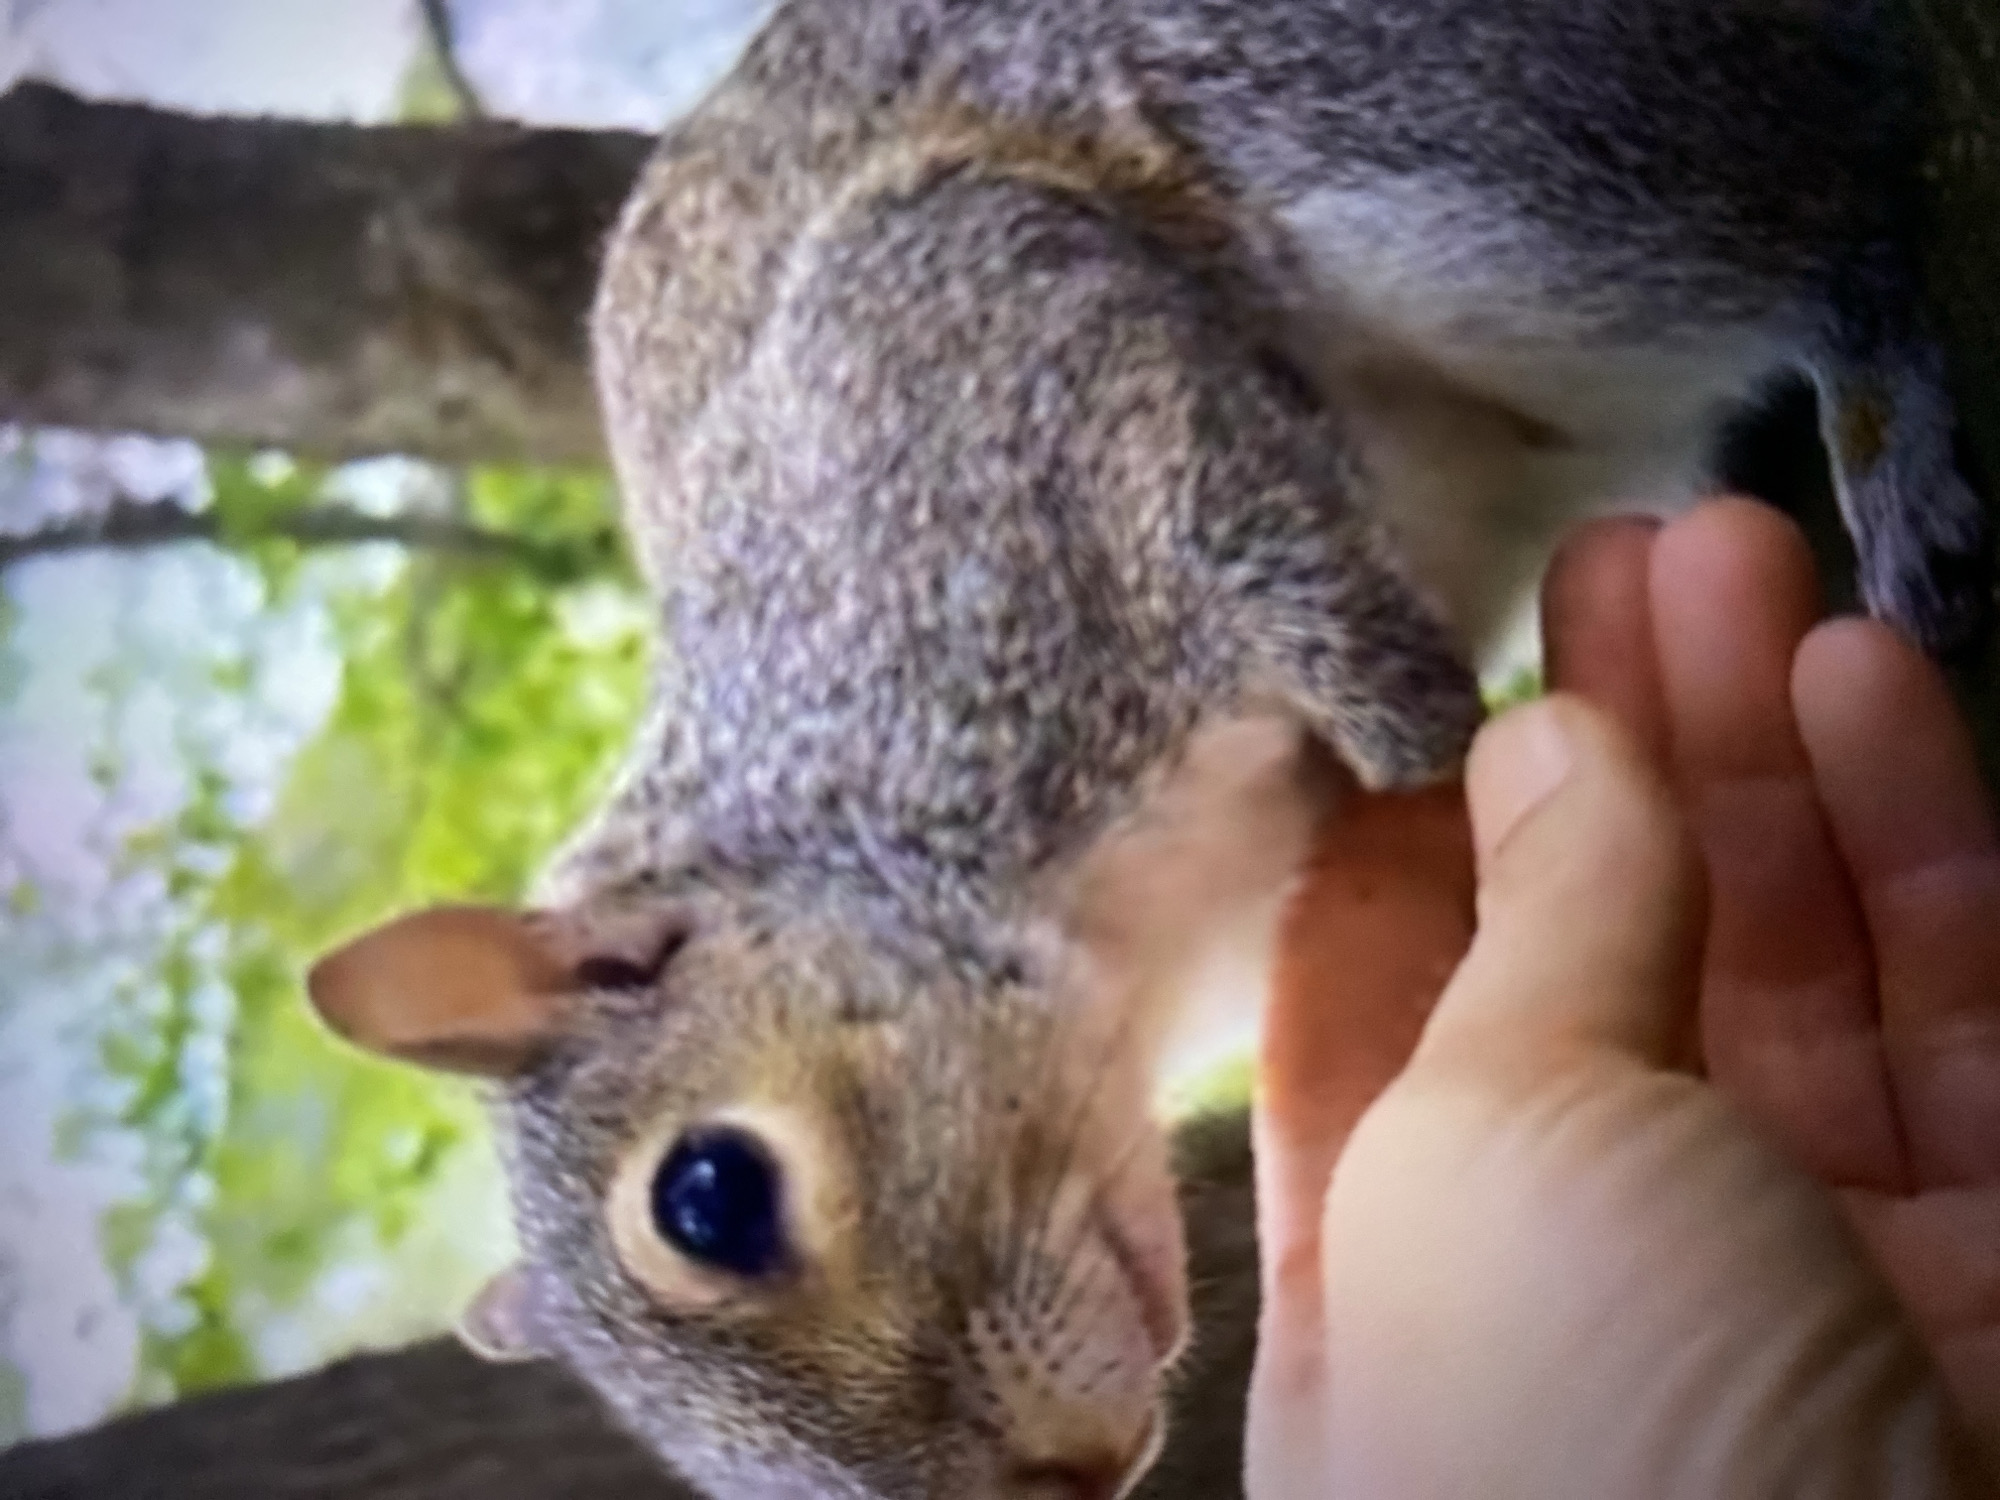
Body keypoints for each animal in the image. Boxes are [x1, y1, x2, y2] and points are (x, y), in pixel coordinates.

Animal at [305, 2, 1991, 1498]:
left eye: (708, 1196)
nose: (1076, 1478)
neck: (1133, 948)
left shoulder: (1003, 354)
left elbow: (1304, 597)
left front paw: (1447, 753)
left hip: (1449, 154)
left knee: (1861, 150)